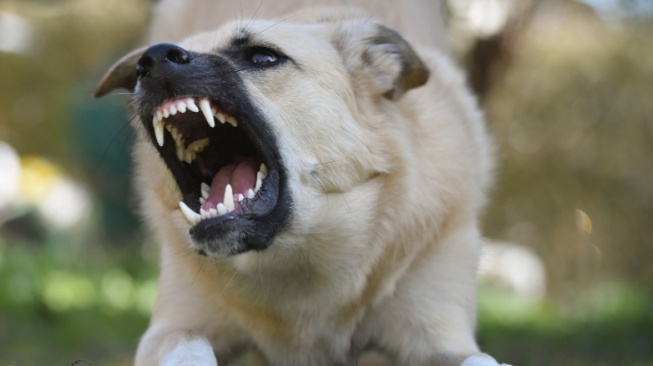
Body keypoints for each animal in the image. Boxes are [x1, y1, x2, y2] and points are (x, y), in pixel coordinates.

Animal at [94, 5, 502, 366]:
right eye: (142, 66)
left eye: (263, 57)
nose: (152, 59)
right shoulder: (170, 328)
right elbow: (191, 346)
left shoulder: (441, 334)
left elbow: (481, 359)